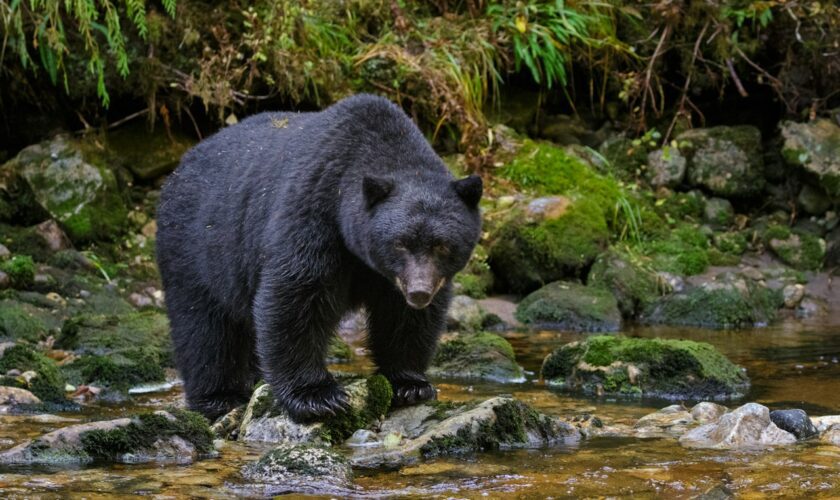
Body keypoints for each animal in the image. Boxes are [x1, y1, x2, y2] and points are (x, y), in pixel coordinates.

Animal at [155, 94, 482, 422]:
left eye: (442, 245)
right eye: (400, 243)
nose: (419, 292)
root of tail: (180, 166)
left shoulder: (395, 277)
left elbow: (403, 316)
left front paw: (410, 384)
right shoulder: (314, 210)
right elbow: (296, 296)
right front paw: (316, 396)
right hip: (196, 246)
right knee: (204, 326)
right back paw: (219, 396)